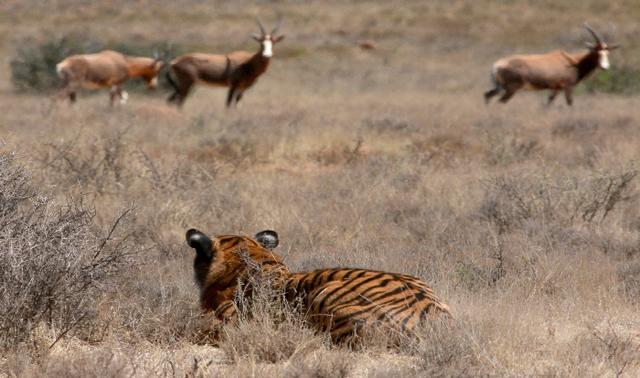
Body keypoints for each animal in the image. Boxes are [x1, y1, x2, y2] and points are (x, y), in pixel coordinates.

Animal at [488, 24, 616, 105]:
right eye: (596, 52)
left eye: (607, 53)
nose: (605, 67)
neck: (574, 62)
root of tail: (496, 65)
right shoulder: (567, 87)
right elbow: (570, 102)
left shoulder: (556, 88)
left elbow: (549, 102)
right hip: (511, 89)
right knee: (500, 101)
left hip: (500, 87)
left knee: (487, 95)